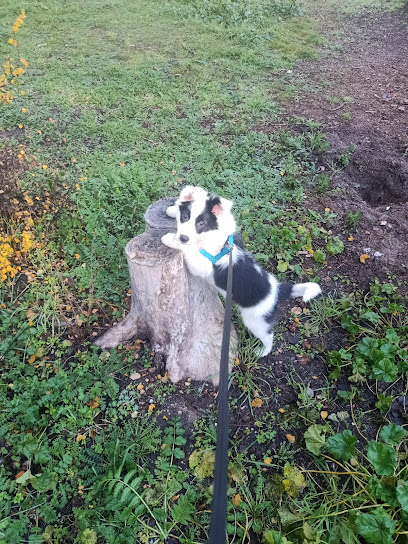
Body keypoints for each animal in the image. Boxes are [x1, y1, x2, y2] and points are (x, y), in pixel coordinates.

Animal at [161, 187, 320, 356]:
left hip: (256, 321)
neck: (208, 235)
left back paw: (261, 352)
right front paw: (173, 209)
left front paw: (170, 239)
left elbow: (190, 249)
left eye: (201, 223)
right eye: (185, 217)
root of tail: (277, 289)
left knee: (268, 337)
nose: (183, 237)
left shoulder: (203, 264)